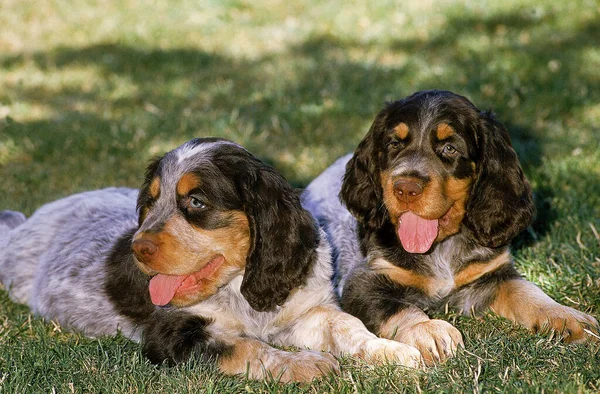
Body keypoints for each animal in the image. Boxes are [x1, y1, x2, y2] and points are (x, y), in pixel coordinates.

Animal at [0, 138, 422, 382]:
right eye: (151, 201)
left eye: (196, 202)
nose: (138, 248)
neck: (238, 285)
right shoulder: (171, 335)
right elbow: (246, 347)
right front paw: (305, 364)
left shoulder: (305, 311)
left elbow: (346, 324)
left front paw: (392, 351)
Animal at [304, 91, 600, 364]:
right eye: (394, 144)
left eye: (449, 149)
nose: (405, 189)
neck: (441, 246)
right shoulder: (362, 282)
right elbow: (397, 308)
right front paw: (428, 329)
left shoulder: (492, 274)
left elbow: (527, 292)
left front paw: (565, 316)